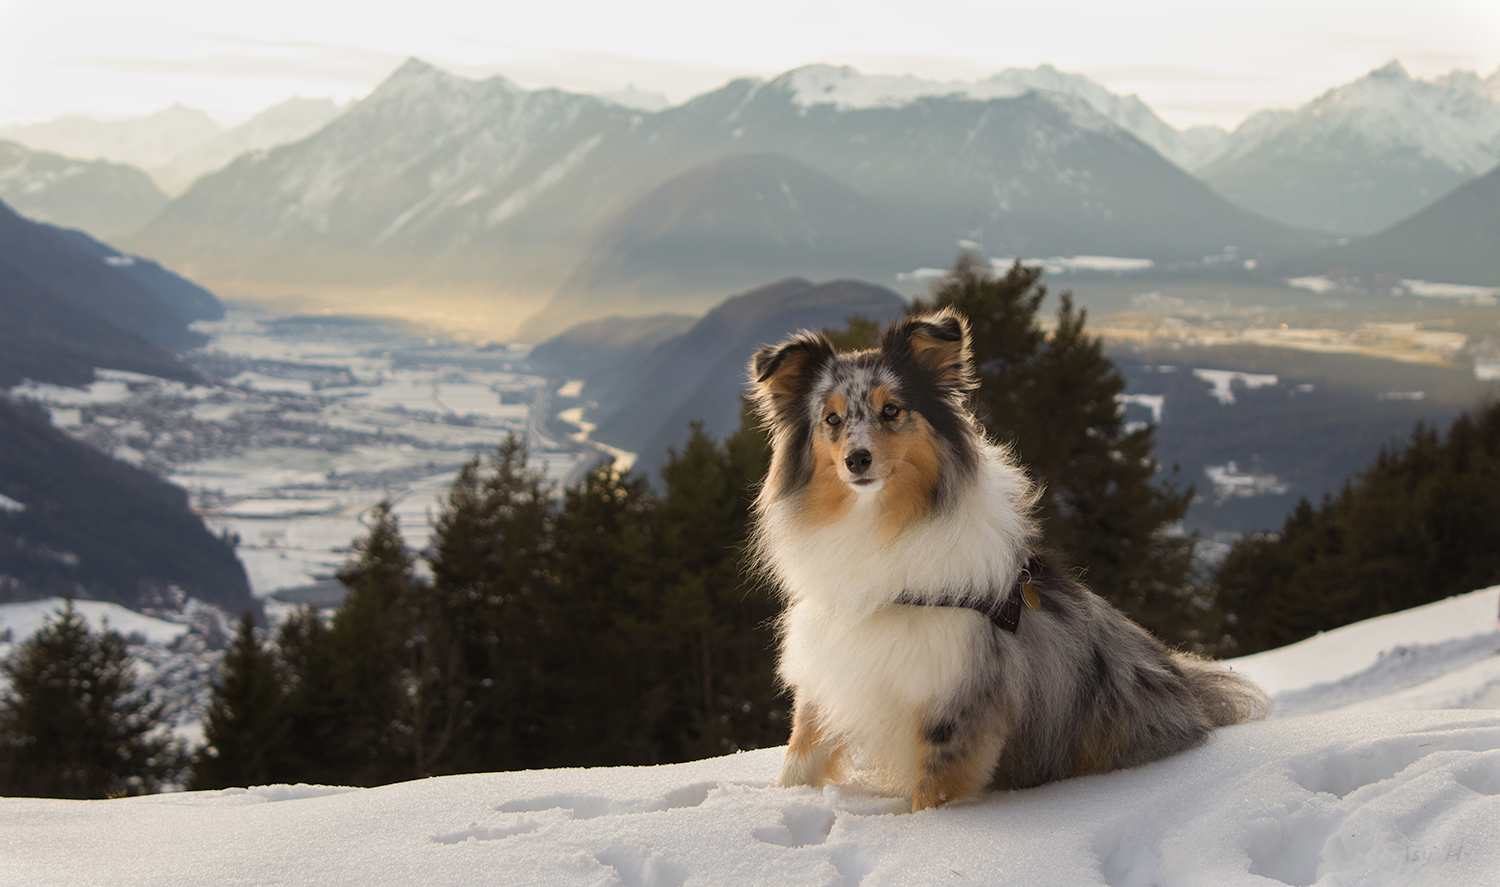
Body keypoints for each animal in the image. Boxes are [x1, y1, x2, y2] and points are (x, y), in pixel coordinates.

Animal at [747, 307, 1266, 810]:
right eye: (832, 419)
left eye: (891, 410)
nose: (857, 460)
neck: (878, 526)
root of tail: (1189, 689)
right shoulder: (830, 668)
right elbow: (798, 762)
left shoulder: (956, 701)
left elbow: (929, 799)